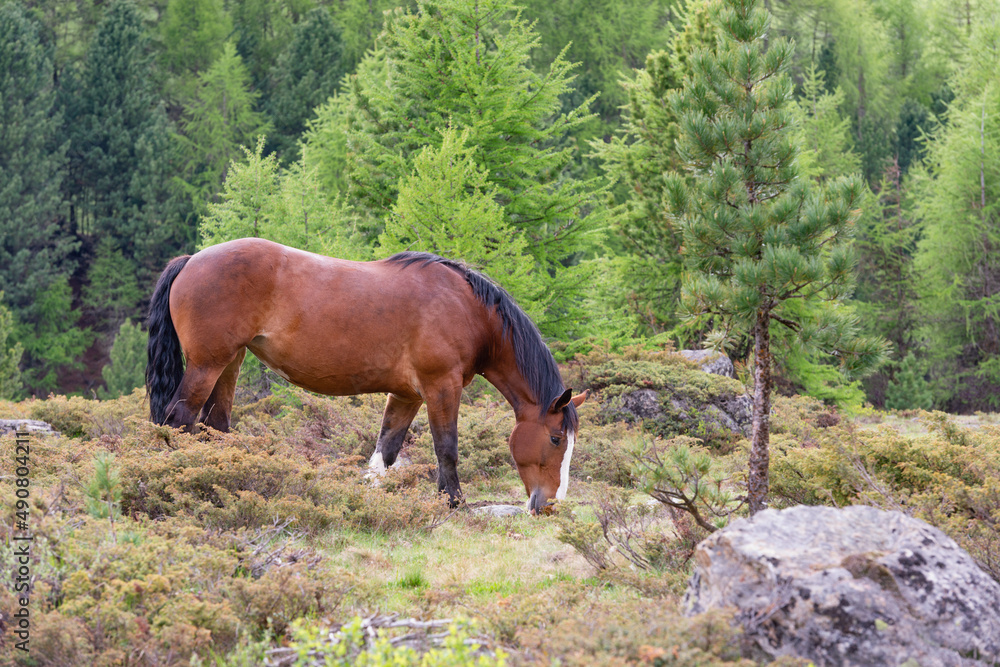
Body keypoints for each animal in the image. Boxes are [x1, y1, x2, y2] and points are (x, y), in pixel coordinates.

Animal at [147, 239, 584, 512]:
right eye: (556, 438)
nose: (550, 504)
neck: (467, 308)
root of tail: (191, 259)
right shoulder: (441, 387)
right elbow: (447, 448)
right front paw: (455, 503)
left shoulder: (408, 395)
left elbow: (385, 452)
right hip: (207, 365)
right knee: (179, 421)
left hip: (230, 363)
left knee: (215, 426)